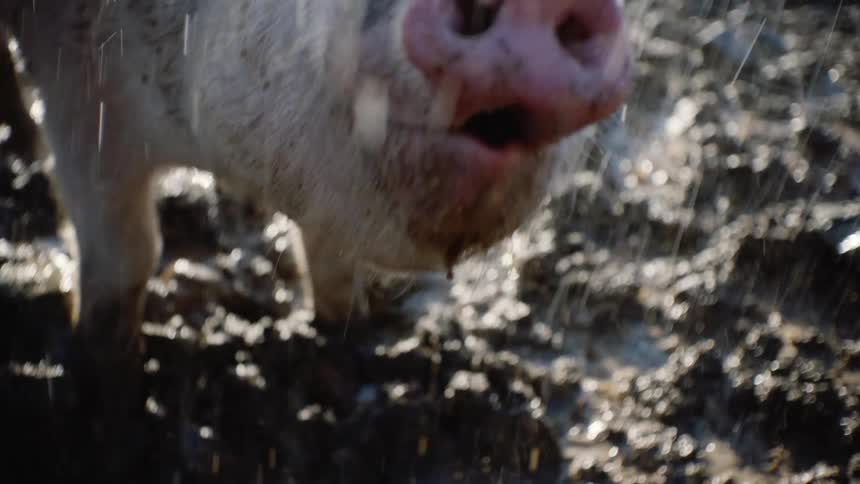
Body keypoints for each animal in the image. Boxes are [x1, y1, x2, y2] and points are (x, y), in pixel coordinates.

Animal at [2, 0, 631, 471]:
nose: (534, 3)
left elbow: (332, 260)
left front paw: (349, 341)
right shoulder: (77, 78)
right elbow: (126, 259)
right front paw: (115, 417)